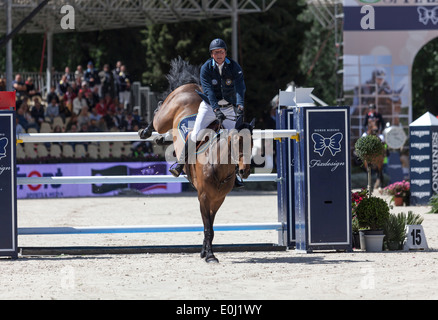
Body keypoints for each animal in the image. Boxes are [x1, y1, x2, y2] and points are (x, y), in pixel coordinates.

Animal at [145, 58, 253, 262]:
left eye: (253, 142)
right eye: (236, 141)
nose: (245, 171)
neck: (218, 166)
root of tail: (191, 85)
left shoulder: (218, 199)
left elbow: (210, 226)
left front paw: (204, 251)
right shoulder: (203, 197)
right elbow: (207, 227)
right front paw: (210, 255)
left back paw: (161, 139)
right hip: (164, 117)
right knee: (157, 112)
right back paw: (146, 131)